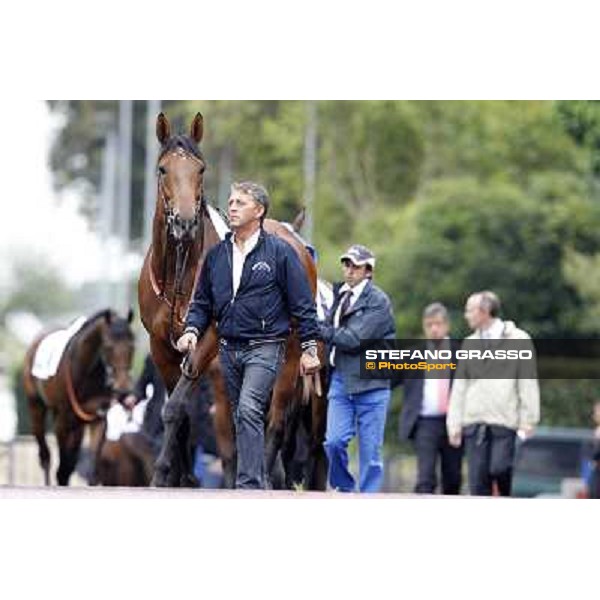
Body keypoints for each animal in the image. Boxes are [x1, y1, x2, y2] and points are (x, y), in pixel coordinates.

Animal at [22, 310, 135, 488]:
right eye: (108, 347)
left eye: (132, 347)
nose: (123, 390)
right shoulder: (61, 422)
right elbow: (62, 468)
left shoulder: (98, 418)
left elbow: (91, 465)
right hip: (36, 407)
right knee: (45, 455)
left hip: (76, 424)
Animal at [139, 111, 324, 488]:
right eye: (163, 169)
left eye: (201, 169)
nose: (184, 222)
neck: (179, 274)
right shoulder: (160, 345)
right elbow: (176, 410)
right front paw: (176, 475)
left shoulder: (208, 340)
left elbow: (176, 407)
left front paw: (163, 473)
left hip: (289, 357)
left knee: (275, 421)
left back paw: (265, 474)